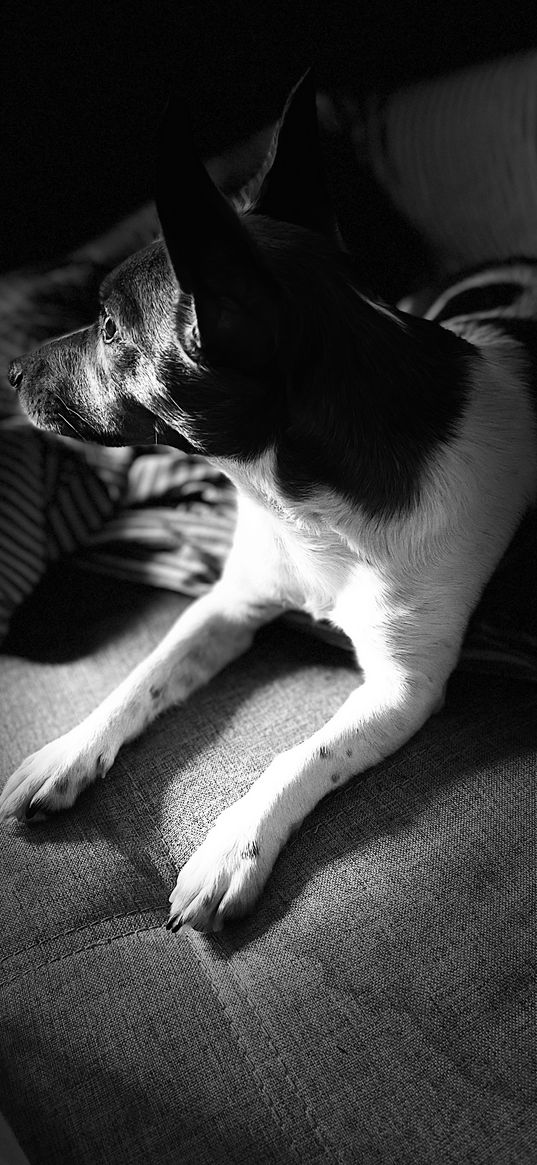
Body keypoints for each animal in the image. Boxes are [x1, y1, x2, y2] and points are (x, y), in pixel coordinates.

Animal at [3, 72, 535, 932]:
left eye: (110, 327)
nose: (12, 372)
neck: (300, 503)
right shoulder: (229, 601)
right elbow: (142, 676)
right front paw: (69, 750)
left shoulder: (403, 686)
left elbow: (300, 754)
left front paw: (231, 849)